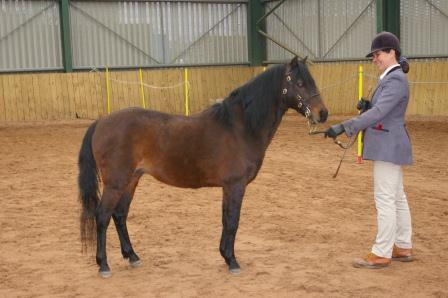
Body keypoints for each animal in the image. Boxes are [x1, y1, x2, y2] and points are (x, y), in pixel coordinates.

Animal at [78, 56, 328, 278]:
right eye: (299, 83)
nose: (322, 114)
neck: (239, 128)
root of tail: (101, 122)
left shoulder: (228, 187)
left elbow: (226, 219)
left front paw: (226, 256)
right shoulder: (235, 185)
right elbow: (232, 221)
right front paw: (233, 261)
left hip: (131, 180)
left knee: (119, 215)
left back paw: (132, 256)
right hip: (116, 183)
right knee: (102, 216)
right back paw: (103, 265)